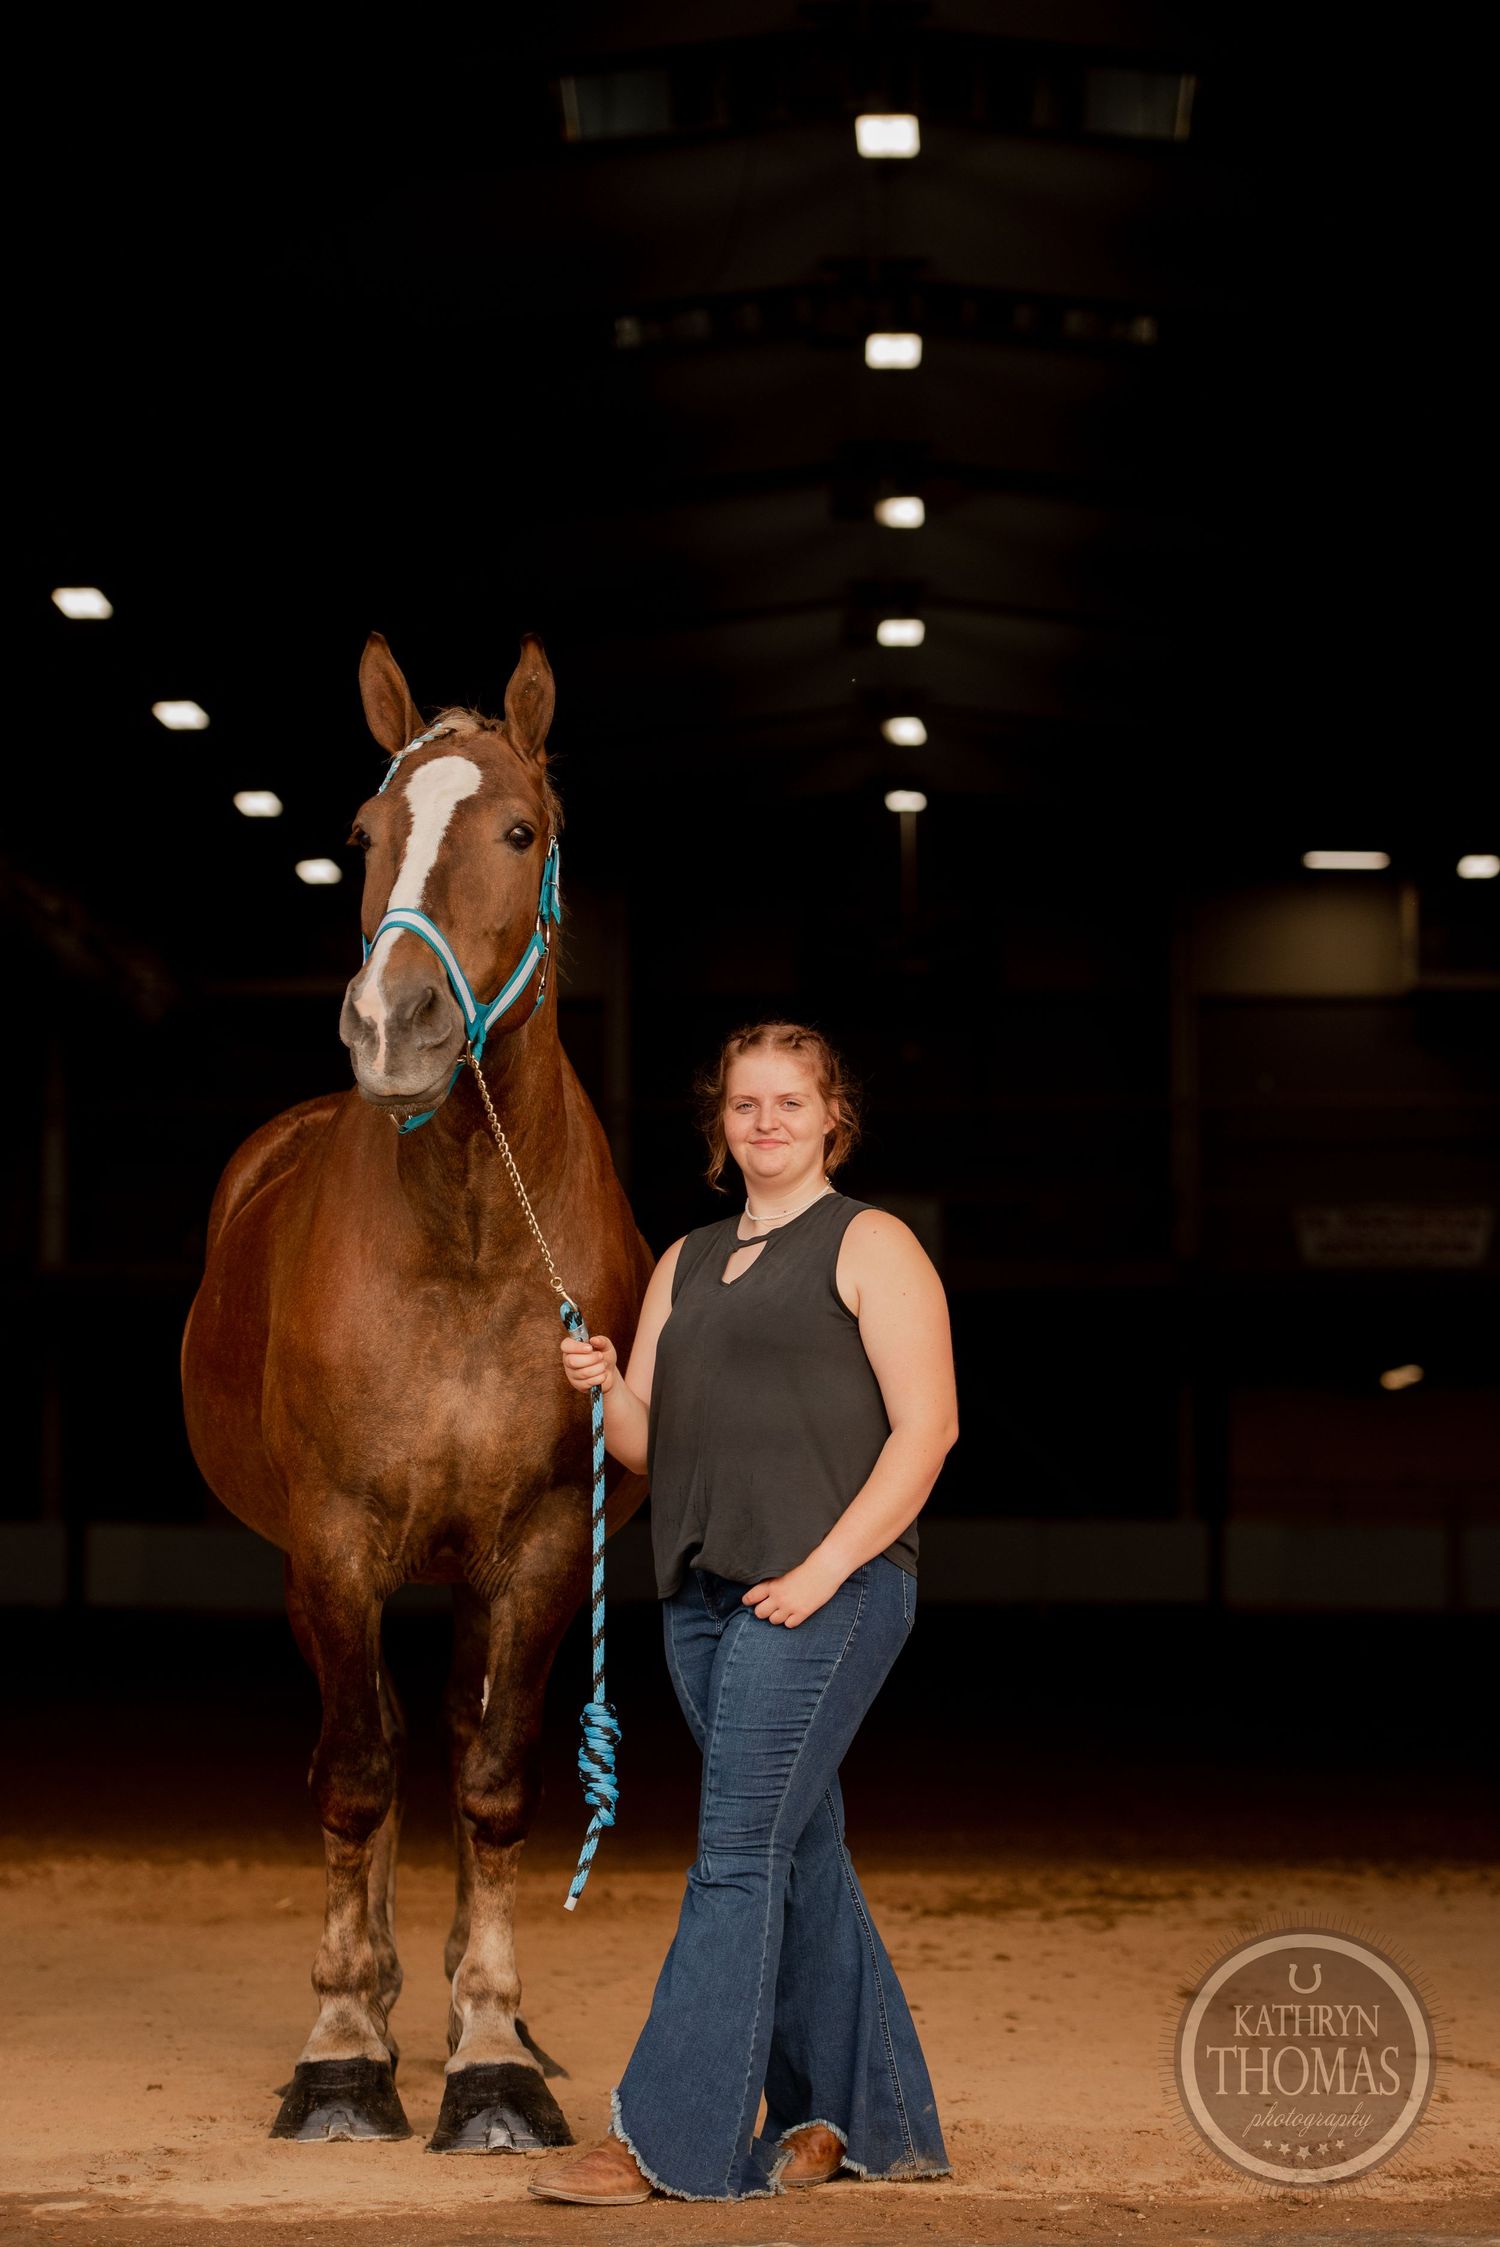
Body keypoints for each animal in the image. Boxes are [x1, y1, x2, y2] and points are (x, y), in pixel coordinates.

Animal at [181, 631, 653, 2152]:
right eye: (364, 835)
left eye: (520, 831)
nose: (396, 1026)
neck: (470, 1234)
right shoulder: (337, 1543)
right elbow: (357, 1777)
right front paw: (343, 2051)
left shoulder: (545, 1544)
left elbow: (494, 1784)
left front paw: (493, 2053)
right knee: (373, 1744)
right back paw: (380, 2004)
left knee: (445, 1737)